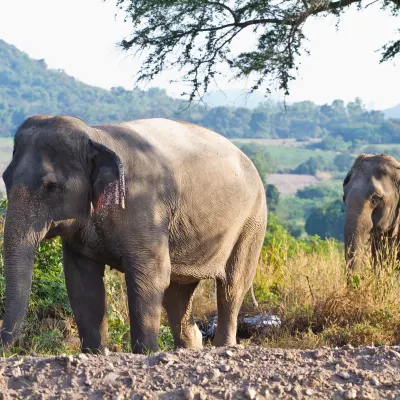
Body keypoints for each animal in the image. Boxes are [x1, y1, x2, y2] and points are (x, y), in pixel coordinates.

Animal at [0, 115, 268, 354]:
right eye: (5, 178)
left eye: (52, 187)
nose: (6, 350)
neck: (96, 136)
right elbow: (81, 281)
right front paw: (94, 353)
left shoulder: (145, 208)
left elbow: (151, 275)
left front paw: (146, 353)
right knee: (177, 294)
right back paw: (189, 348)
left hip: (252, 223)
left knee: (232, 286)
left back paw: (224, 346)